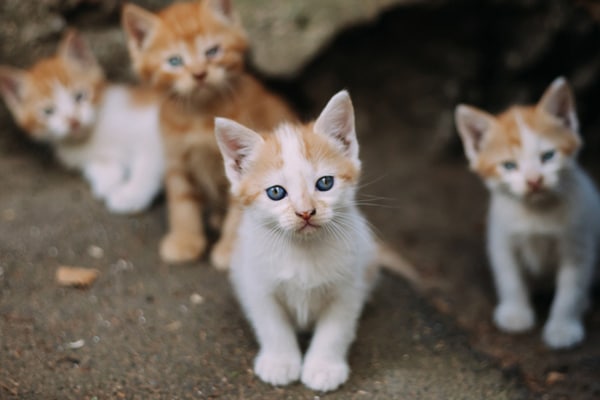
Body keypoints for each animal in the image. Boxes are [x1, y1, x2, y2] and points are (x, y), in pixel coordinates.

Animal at [0, 30, 163, 216]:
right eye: (48, 111)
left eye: (79, 96)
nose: (73, 120)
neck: (91, 136)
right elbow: (97, 164)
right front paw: (108, 181)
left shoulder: (154, 128)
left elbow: (148, 163)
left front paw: (130, 195)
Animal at [122, 0, 298, 268]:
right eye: (175, 61)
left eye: (212, 51)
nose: (199, 74)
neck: (200, 116)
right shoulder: (176, 158)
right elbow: (182, 202)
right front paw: (185, 240)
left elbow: (238, 210)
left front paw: (230, 250)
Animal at [216, 90, 382, 390]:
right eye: (276, 192)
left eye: (325, 183)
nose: (305, 212)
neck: (303, 250)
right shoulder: (257, 283)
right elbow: (272, 326)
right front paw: (280, 362)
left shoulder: (348, 287)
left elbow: (336, 330)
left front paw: (323, 367)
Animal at [454, 76, 600, 348]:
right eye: (509, 166)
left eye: (548, 156)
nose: (534, 181)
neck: (537, 211)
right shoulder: (501, 238)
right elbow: (509, 277)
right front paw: (515, 314)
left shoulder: (578, 244)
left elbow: (571, 289)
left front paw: (563, 328)